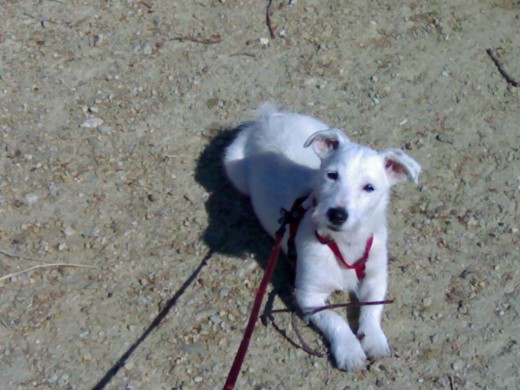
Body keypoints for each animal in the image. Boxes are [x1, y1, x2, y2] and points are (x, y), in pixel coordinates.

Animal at [223, 103, 422, 372]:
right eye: (331, 175)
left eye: (369, 187)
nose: (336, 214)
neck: (344, 243)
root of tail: (267, 119)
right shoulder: (307, 296)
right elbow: (335, 318)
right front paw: (349, 350)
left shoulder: (376, 277)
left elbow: (372, 308)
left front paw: (374, 338)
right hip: (234, 169)